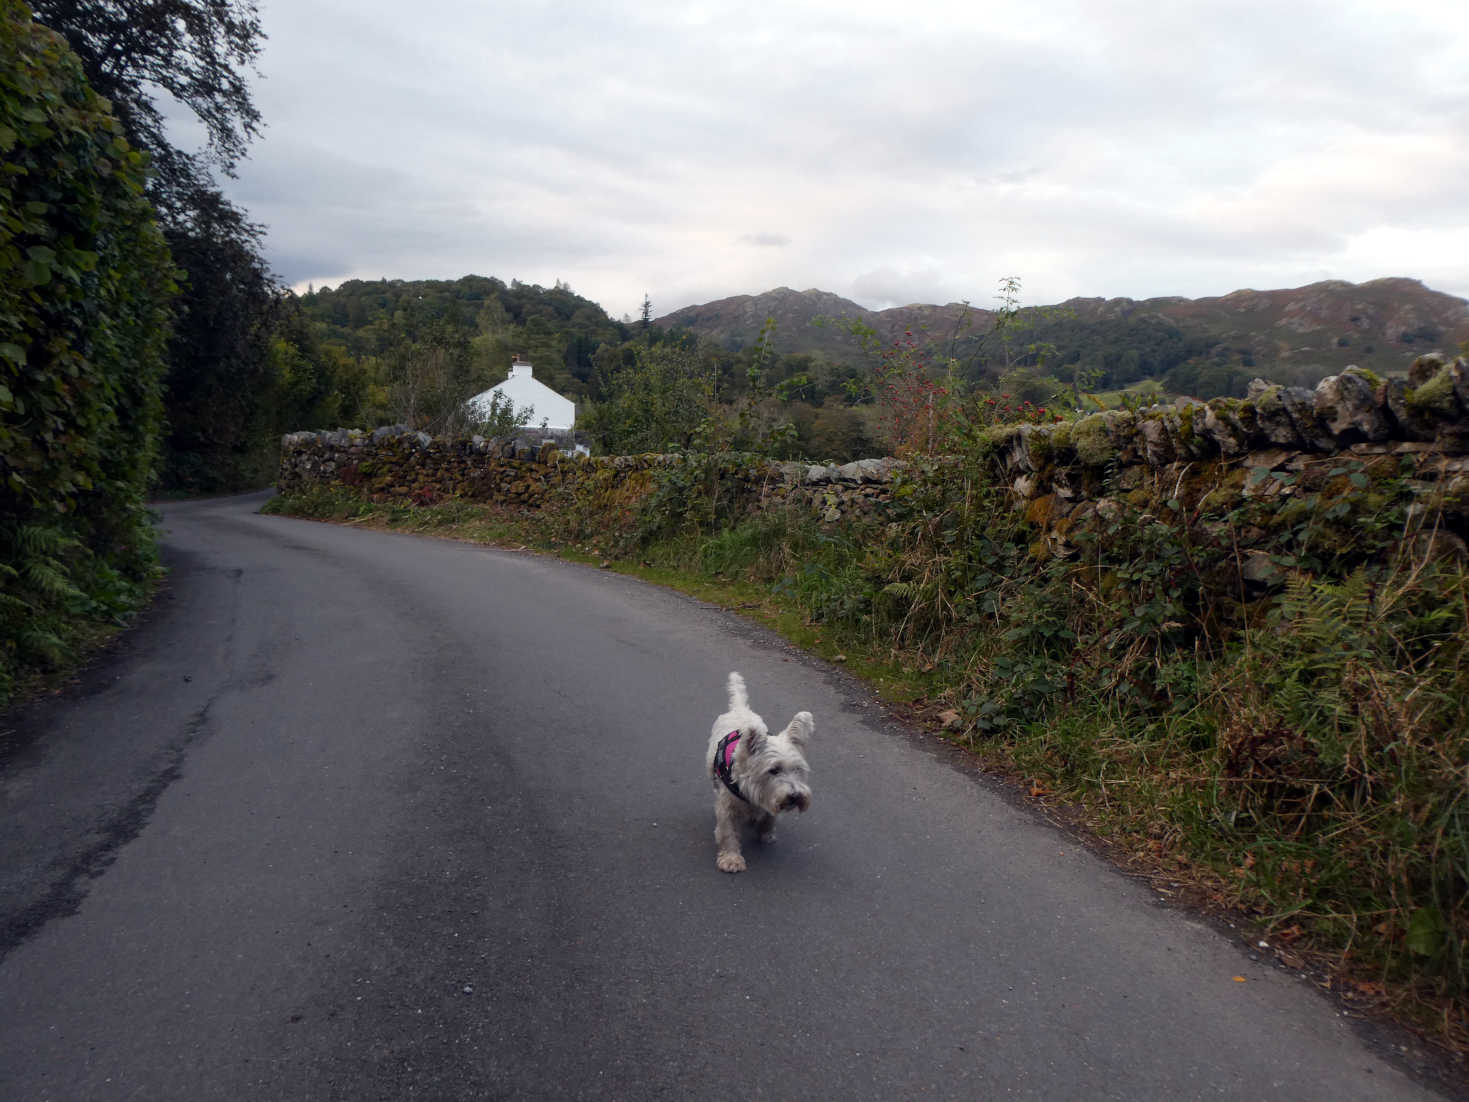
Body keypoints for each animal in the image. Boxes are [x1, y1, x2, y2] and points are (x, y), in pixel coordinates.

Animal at [702, 670, 816, 875]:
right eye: (774, 770)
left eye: (797, 769)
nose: (795, 796)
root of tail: (740, 708)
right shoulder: (727, 807)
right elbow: (728, 832)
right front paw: (731, 859)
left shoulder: (771, 799)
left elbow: (770, 817)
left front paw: (766, 833)